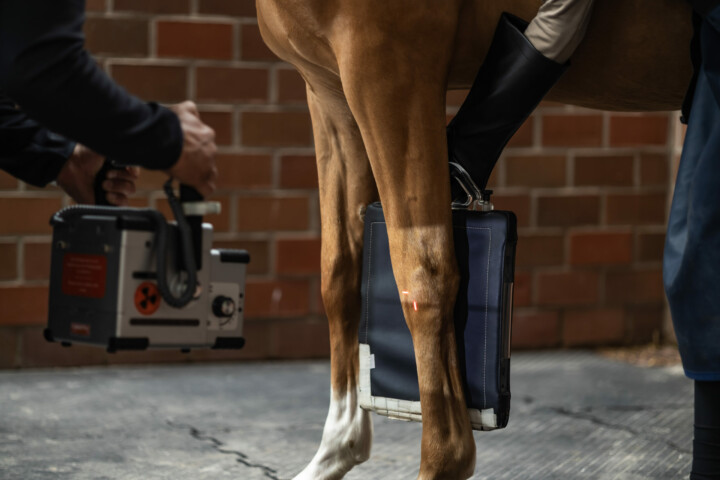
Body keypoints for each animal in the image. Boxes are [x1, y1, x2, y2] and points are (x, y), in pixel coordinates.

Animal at [255, 0, 693, 478]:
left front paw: (445, 458)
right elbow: (339, 276)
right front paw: (338, 449)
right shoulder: (330, 92)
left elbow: (423, 276)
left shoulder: (389, 68)